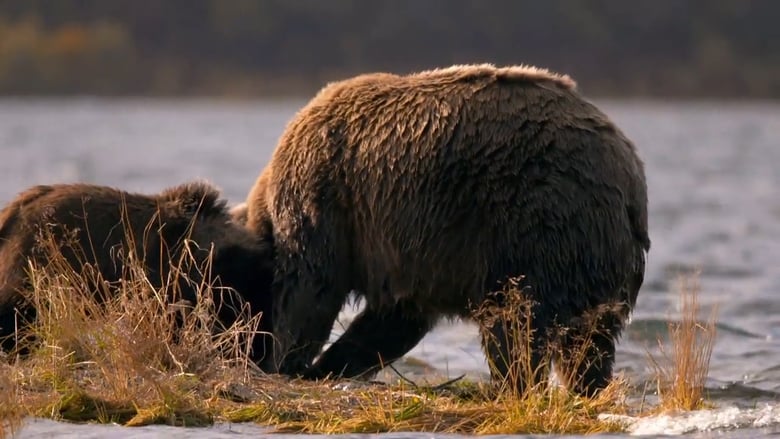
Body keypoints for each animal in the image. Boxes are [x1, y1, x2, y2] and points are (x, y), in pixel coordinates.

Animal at [245, 63, 650, 397]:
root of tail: (629, 177)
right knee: (589, 343)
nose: (252, 347)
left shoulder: (327, 195)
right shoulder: (407, 258)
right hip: (597, 265)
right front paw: (328, 365)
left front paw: (287, 361)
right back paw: (586, 387)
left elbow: (312, 287)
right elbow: (390, 321)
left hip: (536, 224)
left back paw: (511, 386)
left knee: (516, 320)